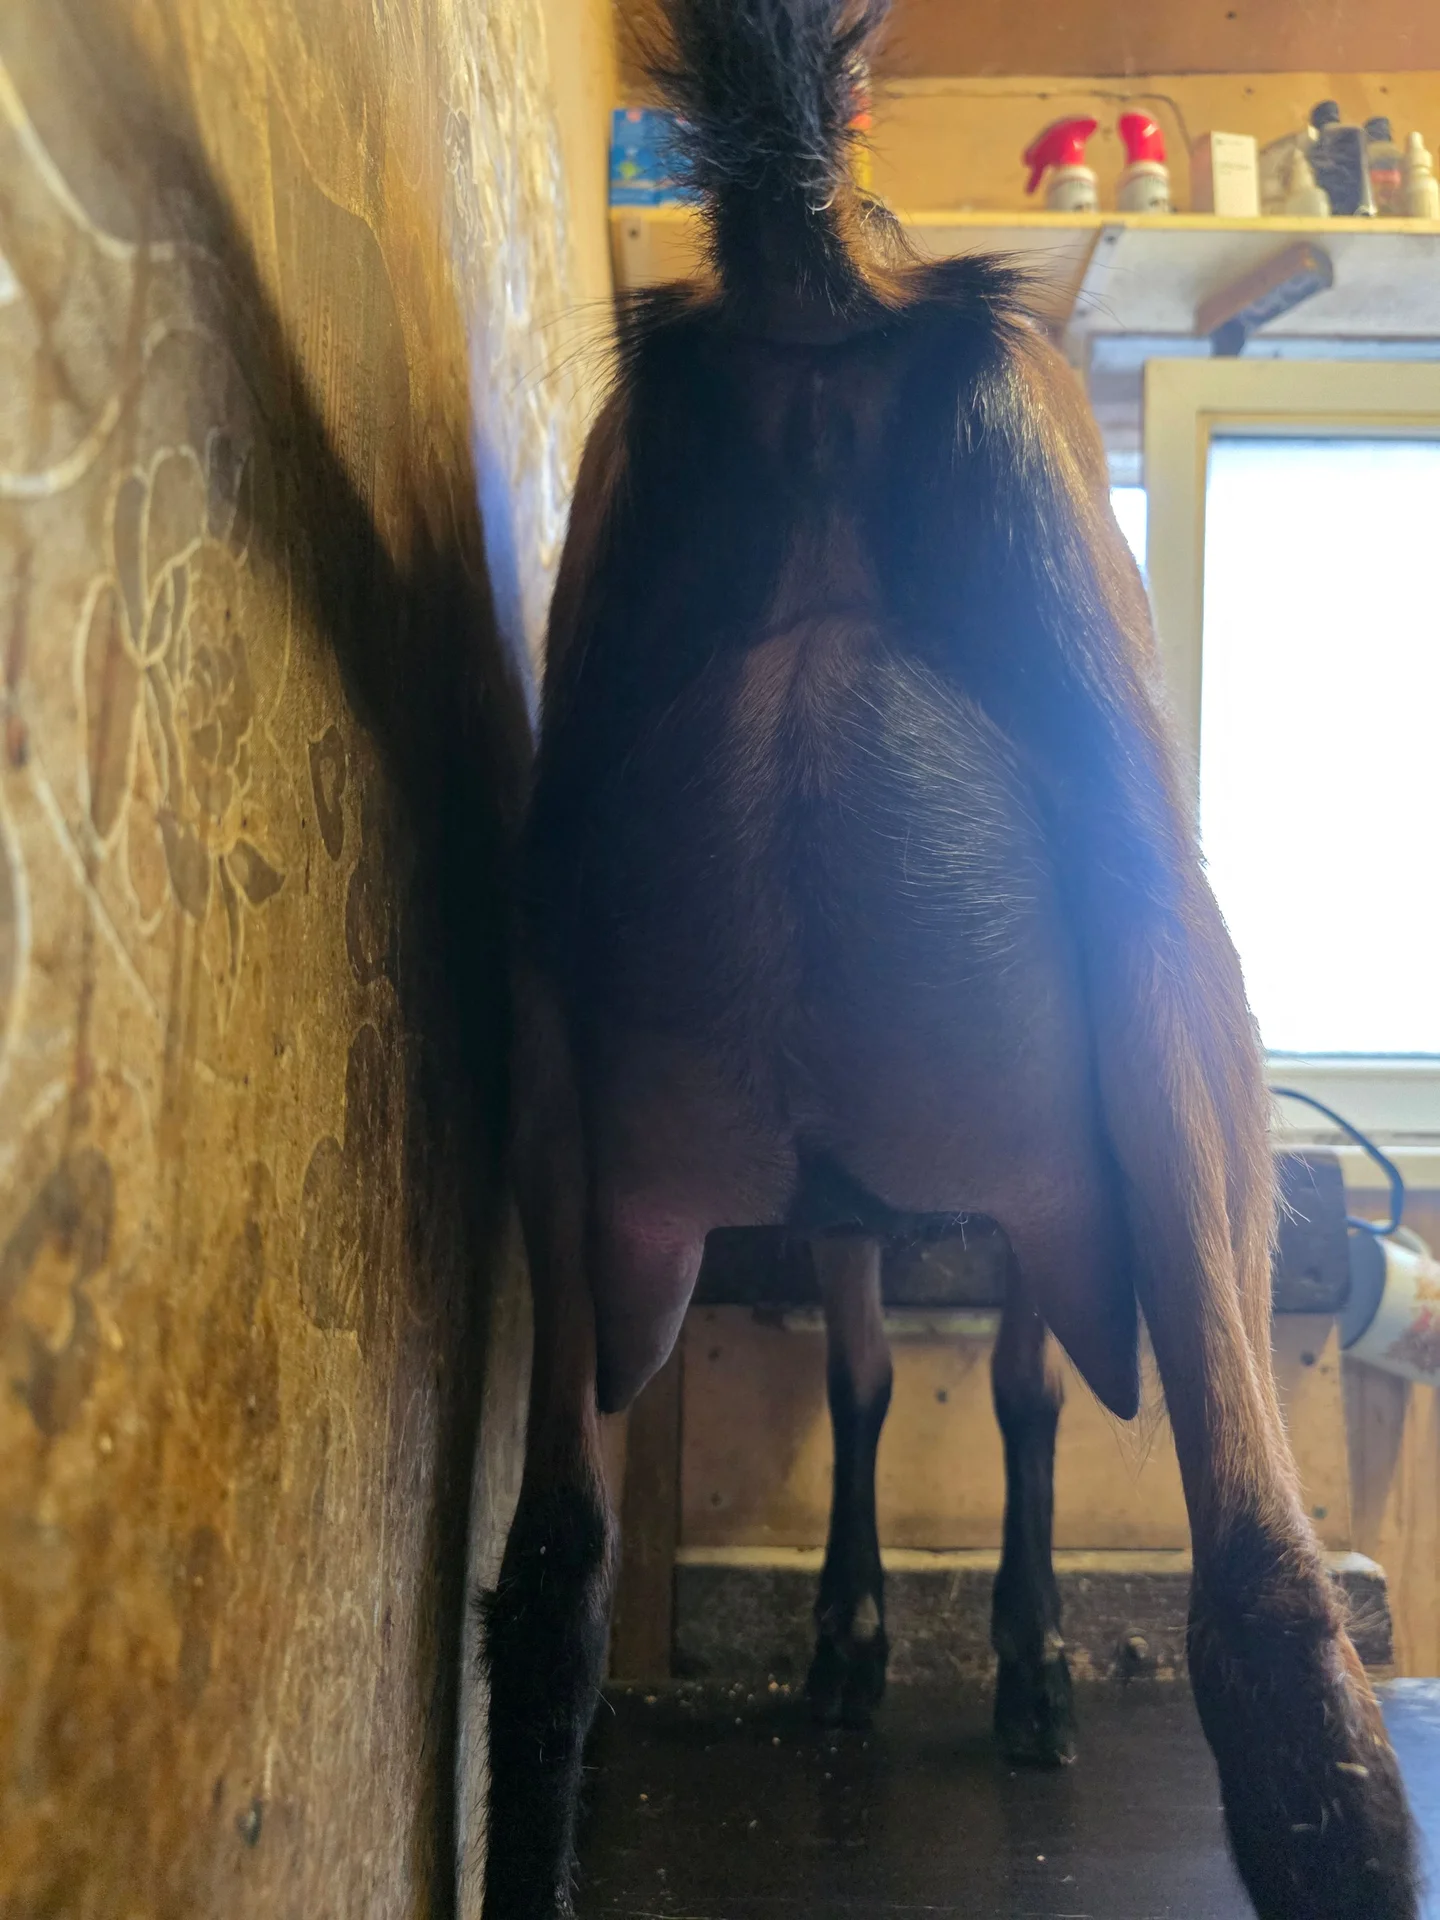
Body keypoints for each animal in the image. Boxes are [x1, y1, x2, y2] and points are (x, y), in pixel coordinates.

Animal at [481, 3, 1417, 1914]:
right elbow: (1014, 1389)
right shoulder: (1028, 1183)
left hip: (561, 1015)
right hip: (1159, 954)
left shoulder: (856, 1190)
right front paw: (1007, 1648)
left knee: (555, 1564)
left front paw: (854, 1643)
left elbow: (865, 1377)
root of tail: (821, 296)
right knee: (1263, 1589)